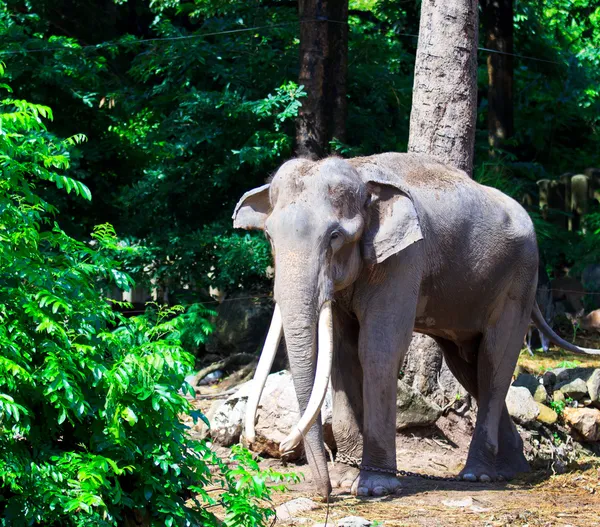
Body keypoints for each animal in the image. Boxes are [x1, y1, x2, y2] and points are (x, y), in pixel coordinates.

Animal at [232, 154, 596, 500]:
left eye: (334, 236)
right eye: (269, 236)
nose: (324, 496)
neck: (359, 171)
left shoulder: (403, 259)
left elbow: (377, 349)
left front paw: (374, 487)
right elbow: (342, 356)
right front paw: (347, 479)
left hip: (517, 282)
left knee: (493, 363)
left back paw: (477, 475)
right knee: (468, 367)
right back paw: (511, 469)